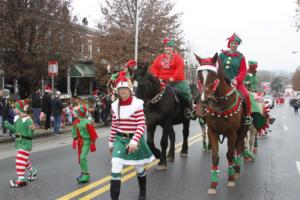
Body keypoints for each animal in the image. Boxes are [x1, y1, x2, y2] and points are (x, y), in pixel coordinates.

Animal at [195, 52, 248, 194]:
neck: (221, 105)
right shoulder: (212, 131)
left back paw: (237, 169)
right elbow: (215, 157)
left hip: (242, 131)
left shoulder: (232, 133)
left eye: (213, 75)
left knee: (238, 149)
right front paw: (213, 185)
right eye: (199, 74)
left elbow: (229, 155)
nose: (205, 100)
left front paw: (230, 179)